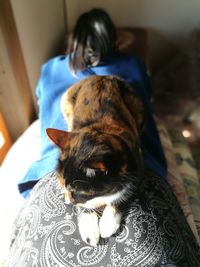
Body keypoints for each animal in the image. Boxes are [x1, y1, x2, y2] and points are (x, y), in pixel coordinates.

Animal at [46, 75, 145, 247]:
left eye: (77, 193)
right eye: (63, 185)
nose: (67, 201)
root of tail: (102, 76)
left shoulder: (137, 167)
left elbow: (124, 195)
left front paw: (108, 224)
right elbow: (84, 207)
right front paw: (89, 232)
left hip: (138, 106)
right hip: (65, 100)